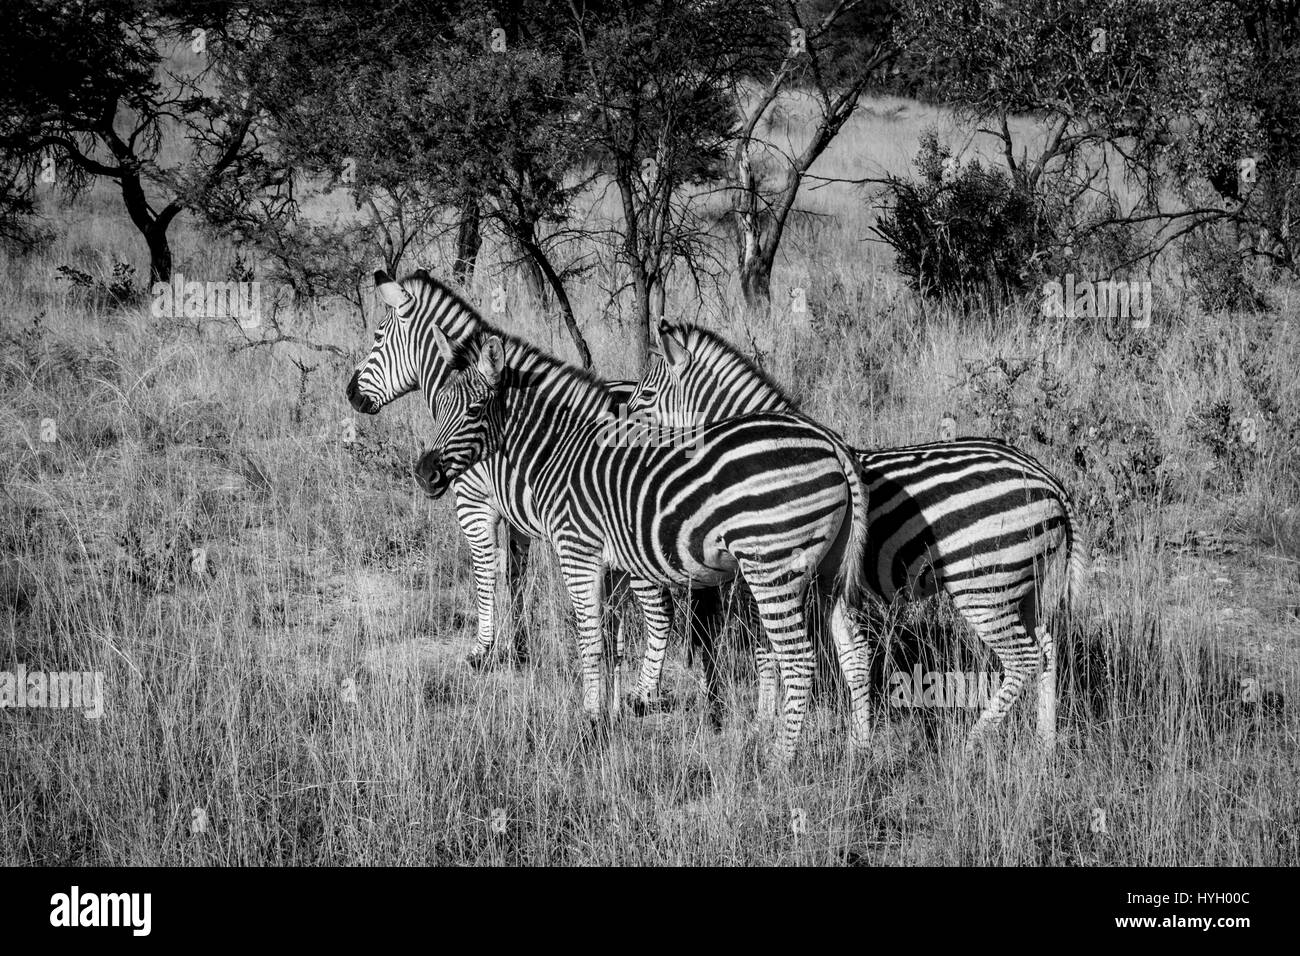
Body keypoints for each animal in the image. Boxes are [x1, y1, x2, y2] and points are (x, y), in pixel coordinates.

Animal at [343, 265, 722, 676]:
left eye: (377, 337)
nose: (350, 393)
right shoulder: (516, 515)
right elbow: (515, 575)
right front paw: (520, 648)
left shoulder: (474, 505)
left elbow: (485, 571)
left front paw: (482, 650)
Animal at [410, 325, 868, 759]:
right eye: (439, 406)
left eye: (473, 410)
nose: (424, 473)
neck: (560, 450)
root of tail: (831, 443)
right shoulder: (612, 565)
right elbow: (612, 640)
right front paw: (612, 715)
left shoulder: (578, 553)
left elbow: (590, 642)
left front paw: (590, 724)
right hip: (829, 571)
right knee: (853, 649)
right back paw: (858, 751)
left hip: (770, 566)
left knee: (799, 659)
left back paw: (780, 759)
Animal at [624, 319, 1092, 749]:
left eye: (644, 396)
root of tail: (1049, 480)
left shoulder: (768, 569)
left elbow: (768, 653)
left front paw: (764, 725)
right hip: (1024, 582)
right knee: (1047, 648)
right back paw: (1045, 742)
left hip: (984, 584)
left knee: (1023, 657)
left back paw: (973, 742)